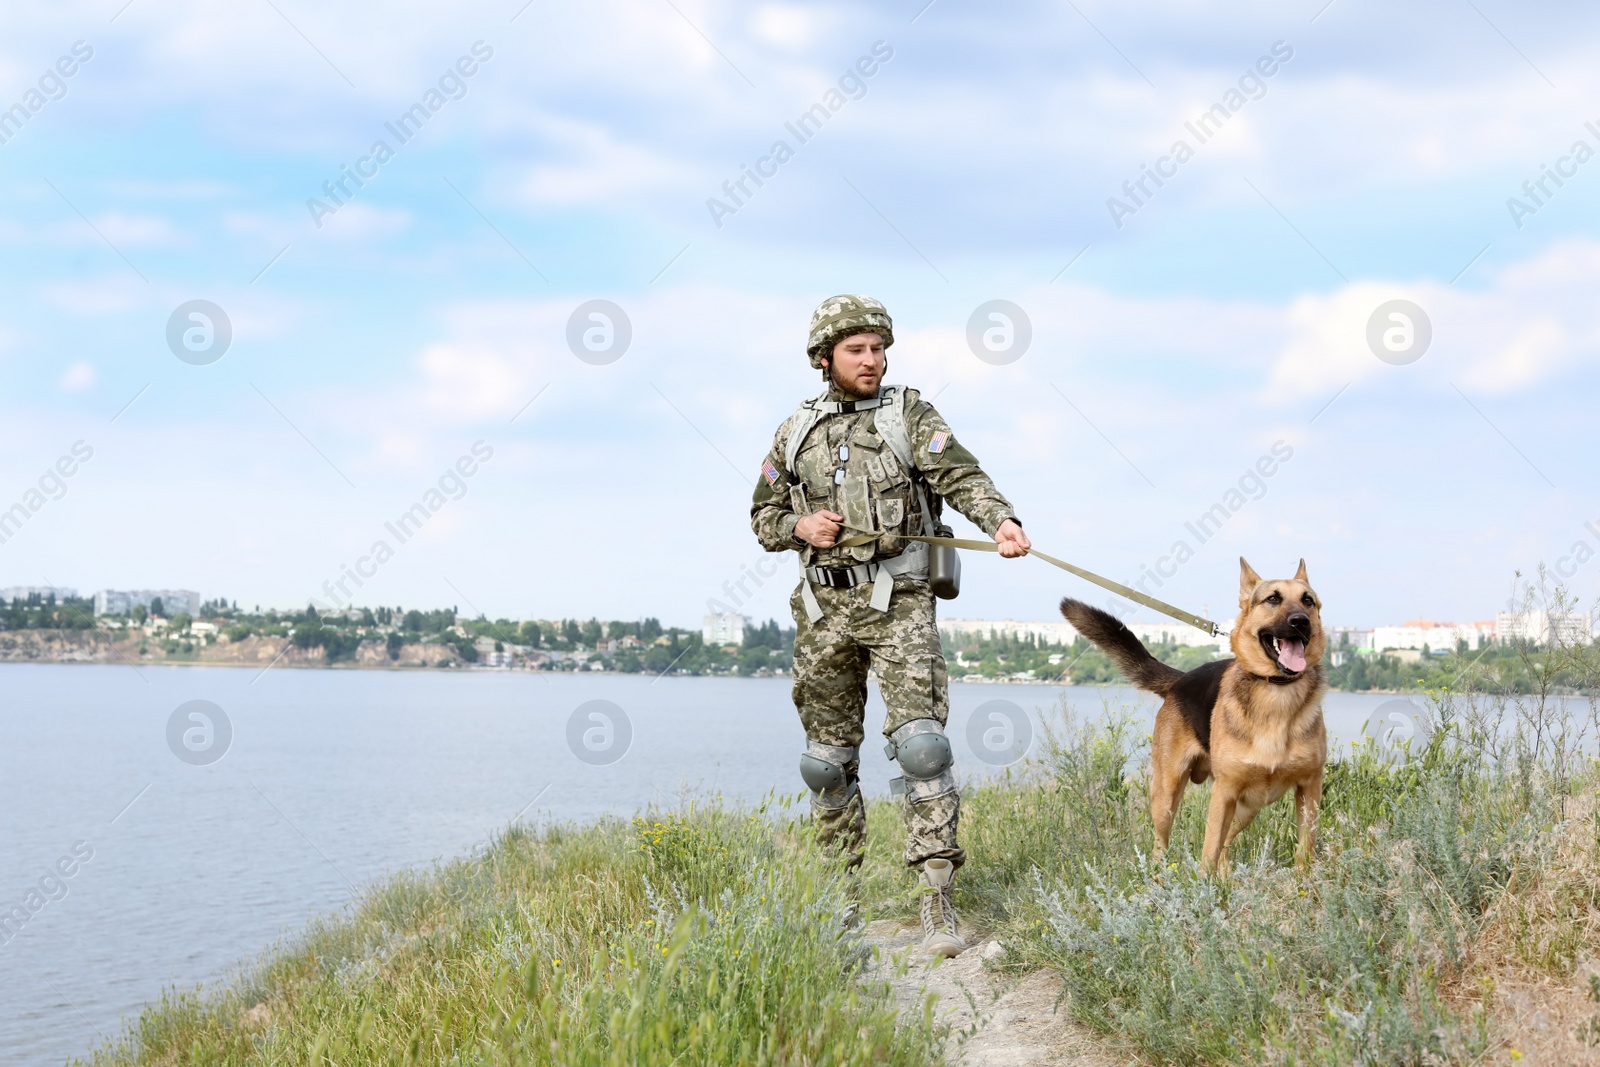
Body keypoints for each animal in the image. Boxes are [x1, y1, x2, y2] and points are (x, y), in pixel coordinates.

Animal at [1062, 559, 1324, 870]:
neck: (1276, 692)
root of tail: (1181, 679)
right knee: (1162, 847)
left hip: (1247, 806)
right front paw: (1203, 884)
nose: (1300, 621)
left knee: (1225, 847)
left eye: (1308, 601)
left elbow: (1305, 854)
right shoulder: (1224, 792)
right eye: (1273, 599)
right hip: (1167, 798)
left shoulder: (1309, 789)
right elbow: (1208, 853)